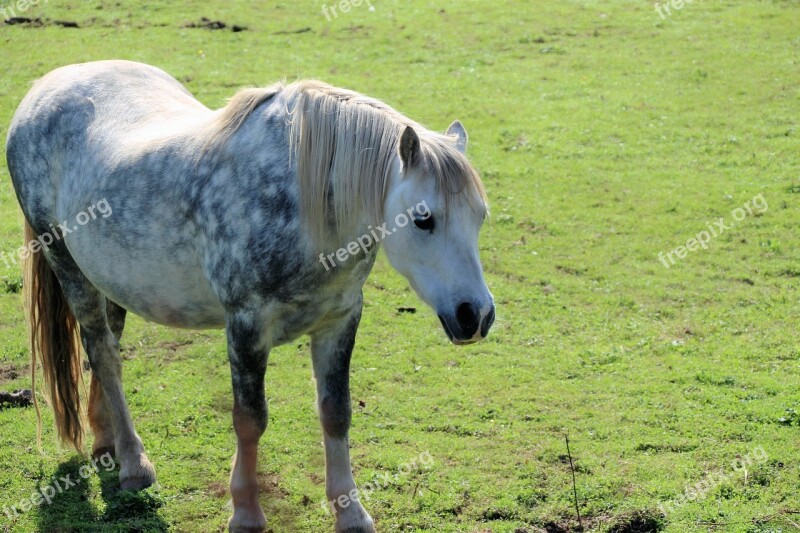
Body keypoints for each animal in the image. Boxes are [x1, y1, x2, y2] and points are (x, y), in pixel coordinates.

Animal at [4, 59, 494, 532]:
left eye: (480, 216)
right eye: (423, 218)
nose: (477, 315)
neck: (306, 212)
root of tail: (45, 87)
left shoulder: (340, 320)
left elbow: (336, 411)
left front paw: (351, 513)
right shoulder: (245, 325)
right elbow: (250, 418)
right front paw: (245, 512)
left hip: (112, 279)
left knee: (106, 351)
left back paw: (107, 440)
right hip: (66, 263)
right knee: (103, 352)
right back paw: (134, 463)